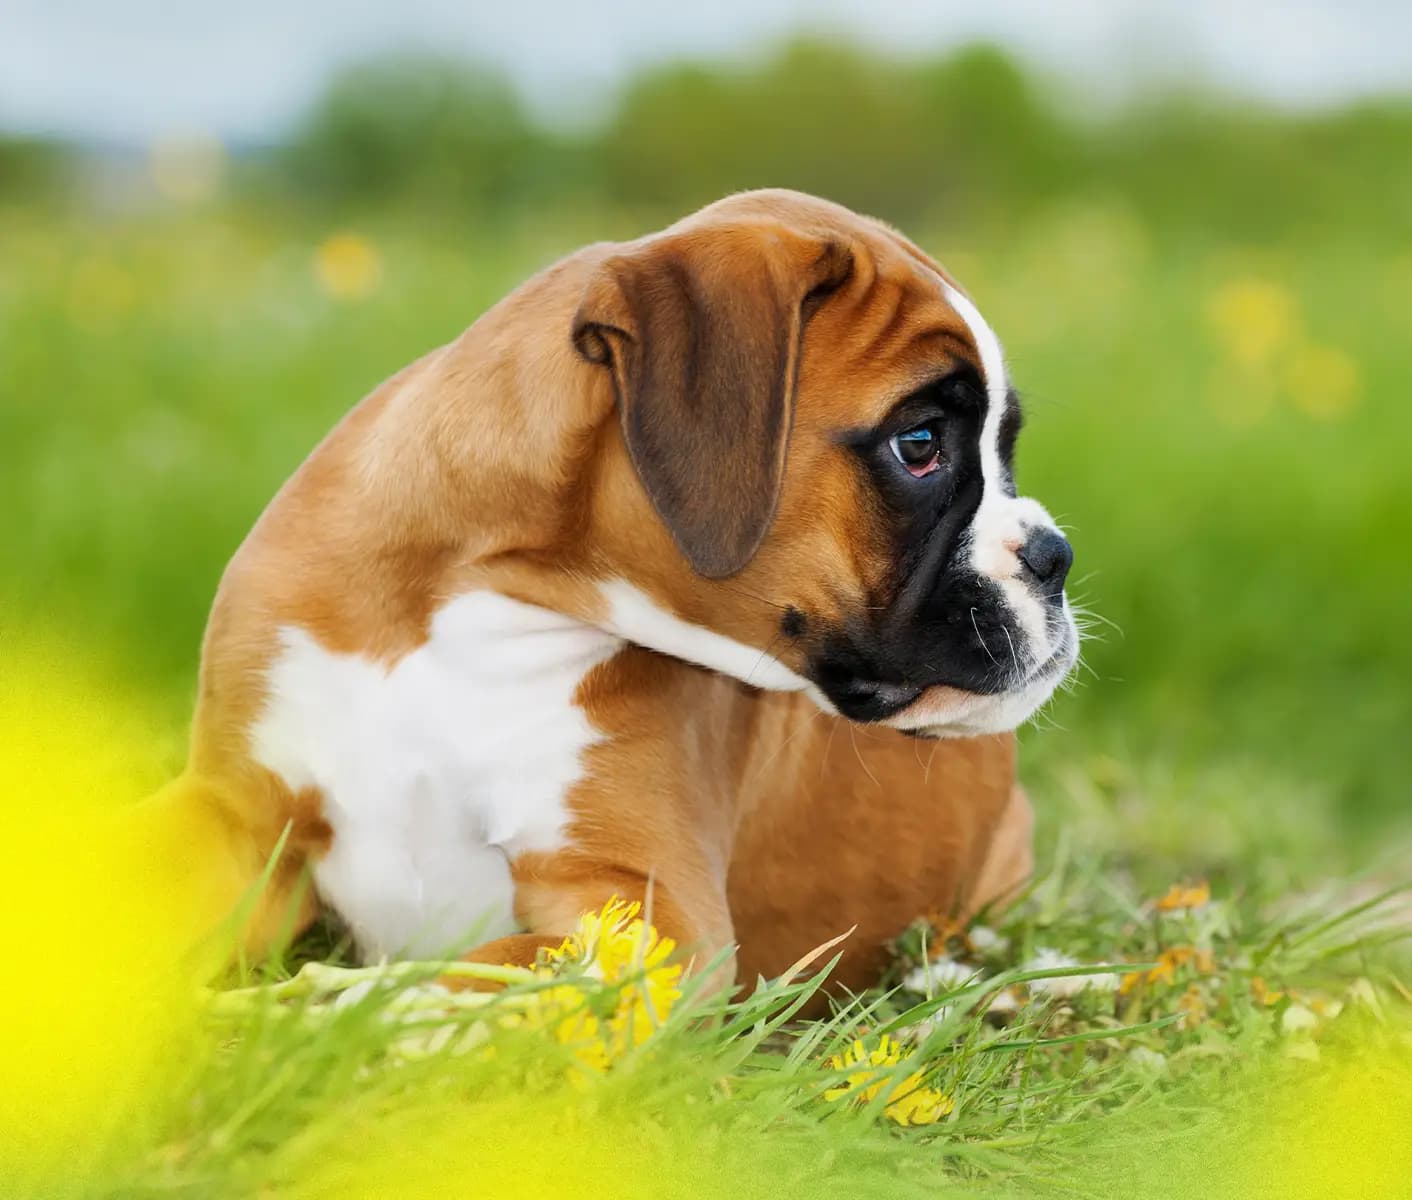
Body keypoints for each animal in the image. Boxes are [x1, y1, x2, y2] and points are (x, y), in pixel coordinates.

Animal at [148, 189, 1073, 993]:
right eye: (919, 444)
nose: (1053, 555)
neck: (476, 598)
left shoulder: (649, 910)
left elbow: (472, 978)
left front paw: (332, 1017)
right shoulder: (233, 819)